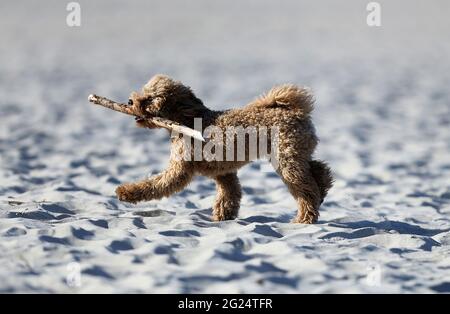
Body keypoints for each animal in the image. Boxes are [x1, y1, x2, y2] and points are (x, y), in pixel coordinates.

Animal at [115, 75, 334, 223]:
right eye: (143, 91)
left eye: (151, 98)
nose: (130, 101)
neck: (187, 118)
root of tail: (296, 111)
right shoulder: (223, 172)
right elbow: (229, 194)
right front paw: (223, 217)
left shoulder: (179, 170)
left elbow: (155, 184)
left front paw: (125, 192)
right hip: (296, 153)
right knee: (319, 169)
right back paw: (323, 188)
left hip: (286, 161)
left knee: (306, 189)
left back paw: (305, 218)